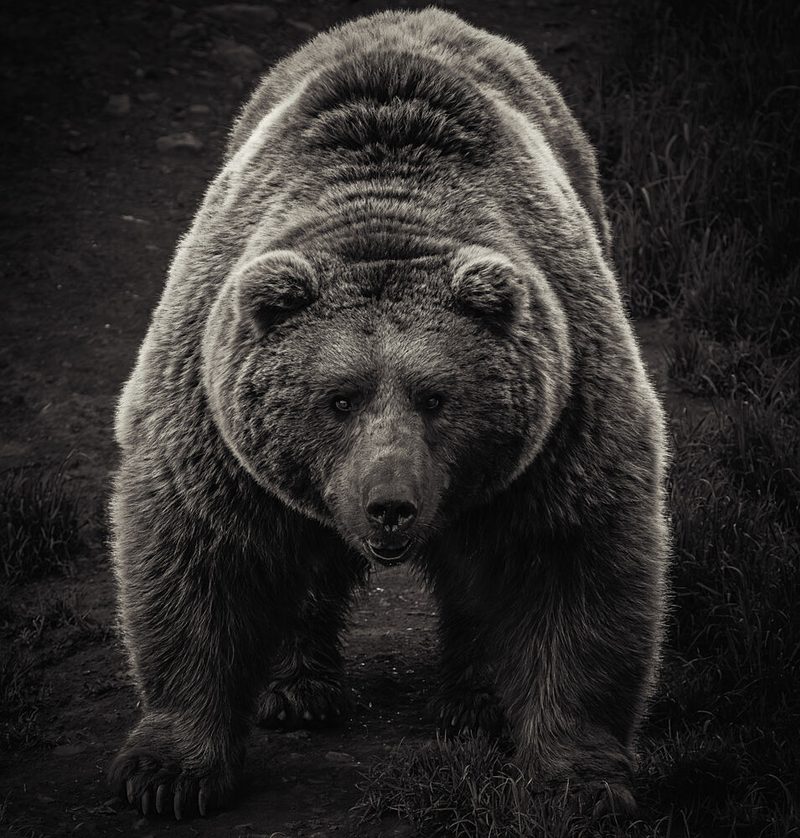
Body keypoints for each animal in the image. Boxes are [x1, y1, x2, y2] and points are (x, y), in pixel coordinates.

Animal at [108, 8, 669, 821]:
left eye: (438, 397)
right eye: (338, 398)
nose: (390, 505)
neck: (386, 218)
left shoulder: (561, 426)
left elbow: (574, 569)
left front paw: (582, 779)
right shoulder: (211, 433)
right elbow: (198, 563)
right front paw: (167, 774)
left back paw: (474, 702)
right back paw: (296, 690)